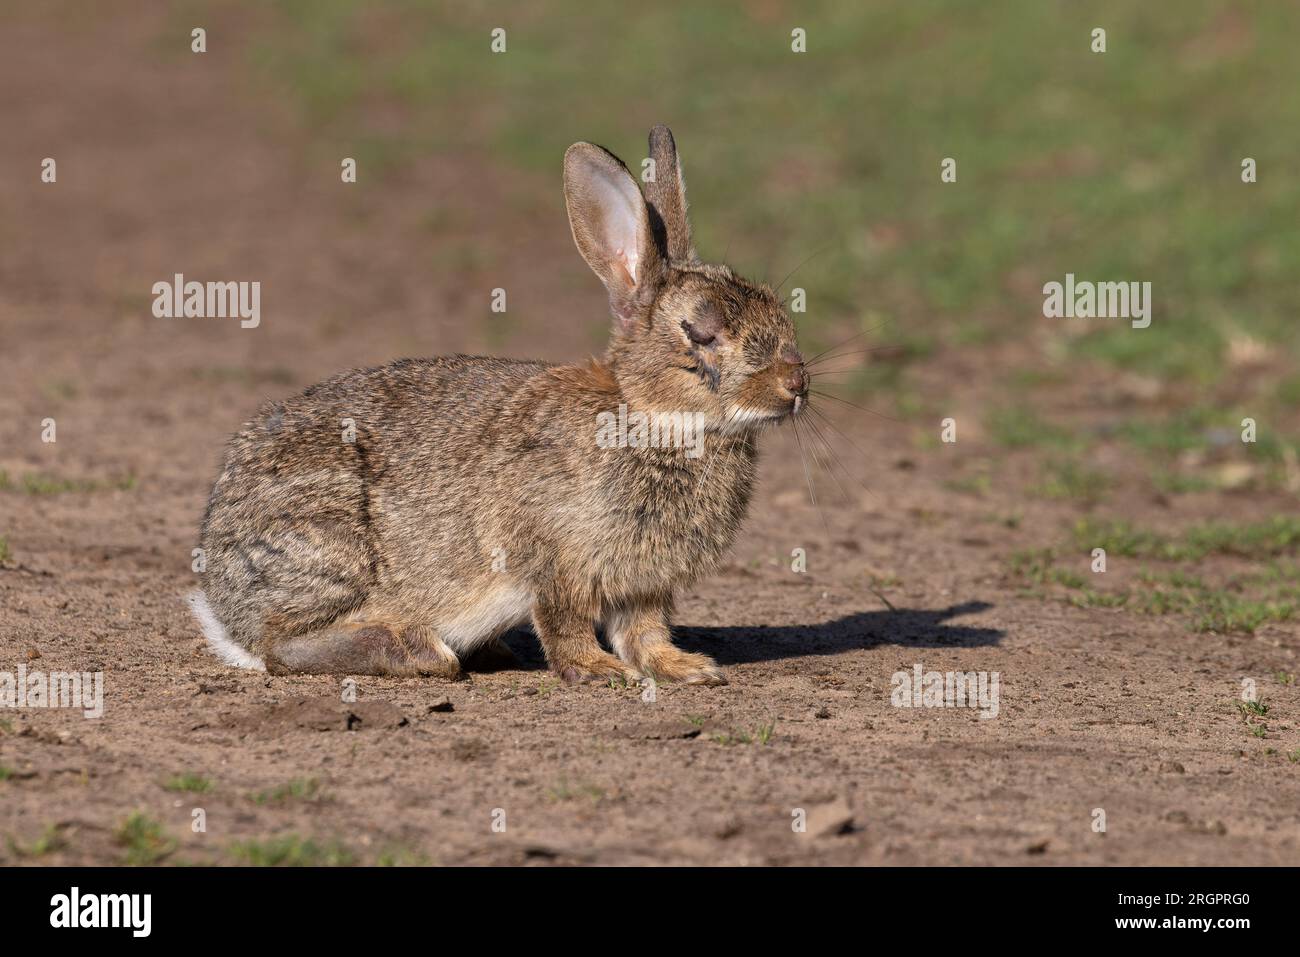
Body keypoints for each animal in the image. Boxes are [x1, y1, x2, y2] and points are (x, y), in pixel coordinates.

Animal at [189, 126, 808, 686]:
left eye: (779, 310)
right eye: (701, 333)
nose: (796, 383)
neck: (648, 414)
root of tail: (222, 606)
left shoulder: (645, 585)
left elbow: (644, 631)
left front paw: (686, 669)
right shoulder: (553, 557)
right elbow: (565, 622)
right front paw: (599, 672)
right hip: (330, 544)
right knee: (282, 647)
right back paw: (417, 650)